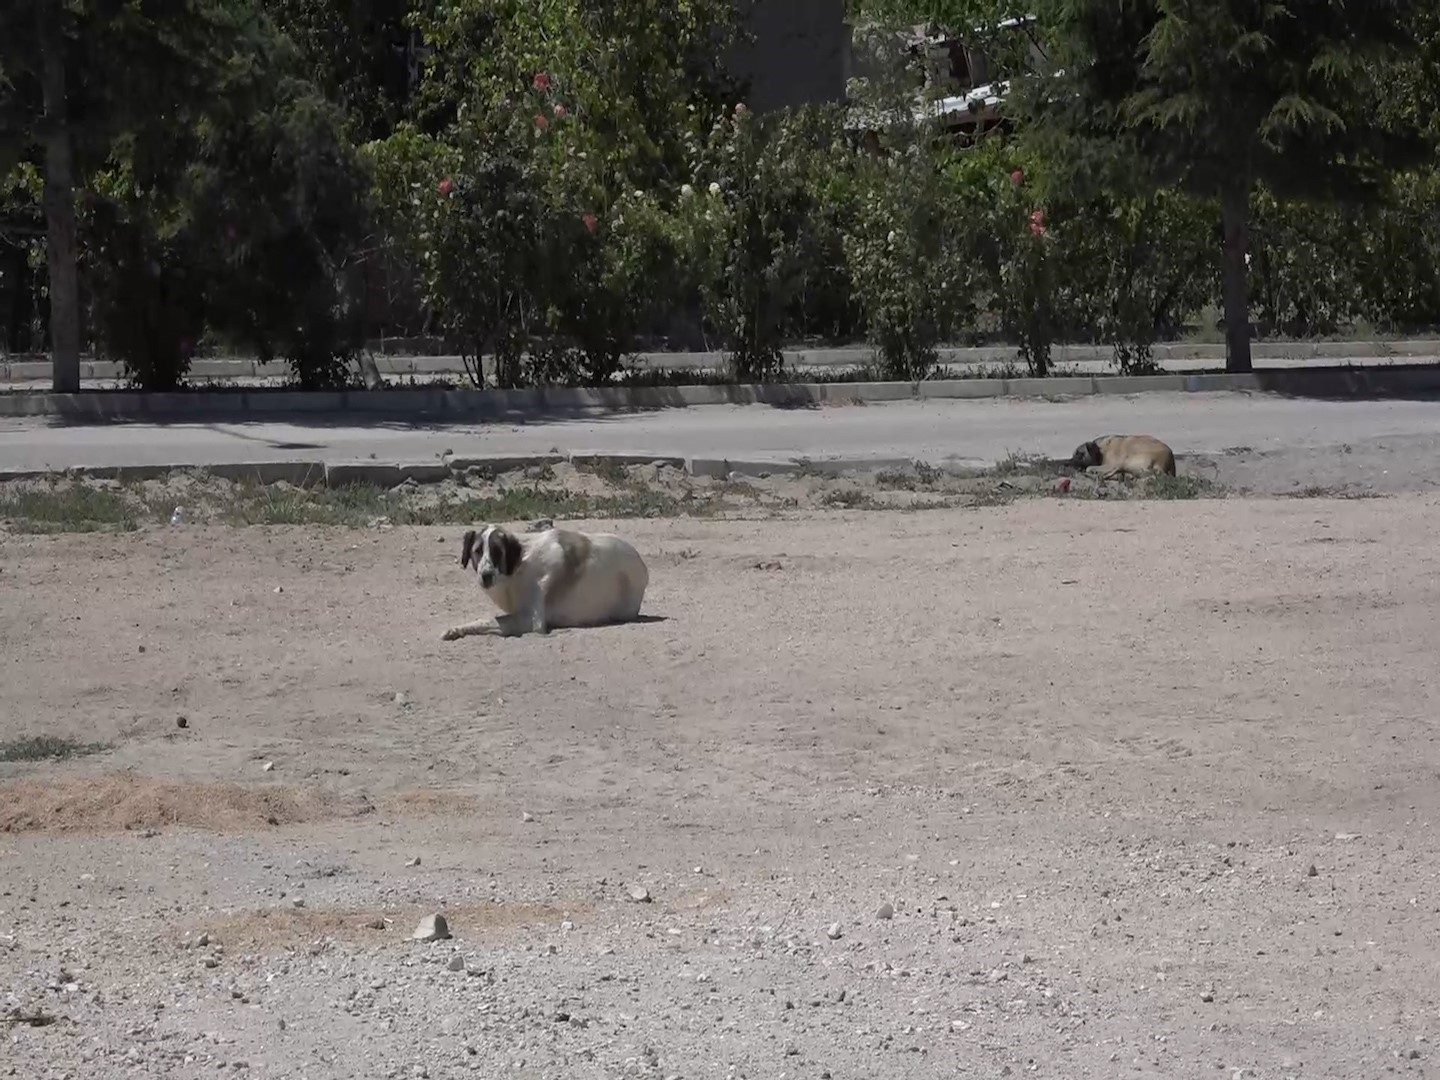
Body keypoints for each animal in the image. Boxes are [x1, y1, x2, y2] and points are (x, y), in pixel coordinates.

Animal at [440, 527, 650, 642]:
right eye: (477, 551)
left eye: (498, 552)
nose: (486, 576)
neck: (518, 568)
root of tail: (642, 564)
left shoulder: (531, 621)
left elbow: (487, 619)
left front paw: (455, 630)